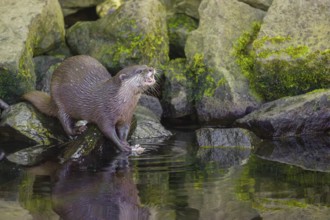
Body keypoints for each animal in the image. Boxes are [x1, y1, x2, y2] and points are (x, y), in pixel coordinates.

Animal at [24, 55, 156, 151]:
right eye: (140, 71)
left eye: (146, 65)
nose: (151, 69)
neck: (117, 101)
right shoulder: (104, 113)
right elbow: (108, 131)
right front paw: (121, 146)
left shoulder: (126, 117)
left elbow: (124, 130)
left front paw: (125, 142)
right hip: (58, 99)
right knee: (64, 121)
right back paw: (77, 131)